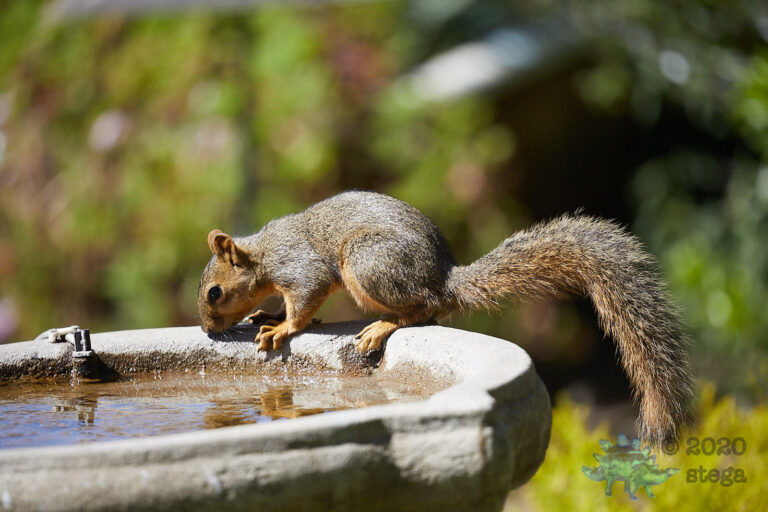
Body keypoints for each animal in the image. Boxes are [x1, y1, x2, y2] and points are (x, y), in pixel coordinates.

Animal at [198, 190, 694, 443]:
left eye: (214, 292)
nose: (207, 331)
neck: (263, 255)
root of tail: (444, 278)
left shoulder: (300, 268)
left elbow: (304, 302)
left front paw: (281, 327)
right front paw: (266, 313)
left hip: (368, 263)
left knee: (425, 308)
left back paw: (384, 325)